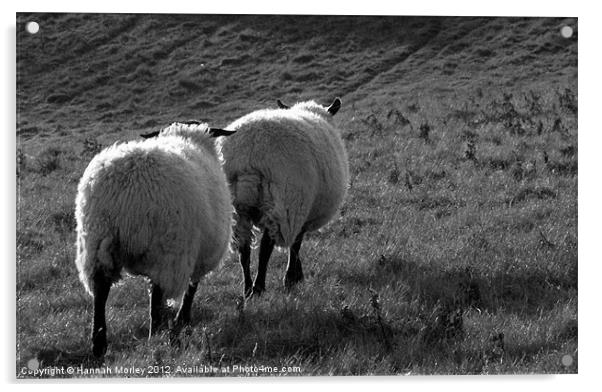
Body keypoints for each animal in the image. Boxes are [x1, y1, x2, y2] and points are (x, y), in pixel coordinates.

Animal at [74, 121, 236, 356]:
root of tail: (128, 187)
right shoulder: (198, 256)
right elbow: (191, 289)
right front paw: (183, 320)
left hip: (96, 244)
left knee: (100, 292)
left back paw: (99, 345)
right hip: (168, 252)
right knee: (157, 299)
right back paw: (158, 337)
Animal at [217, 97, 346, 298]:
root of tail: (248, 155)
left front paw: (295, 275)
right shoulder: (301, 211)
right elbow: (296, 244)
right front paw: (293, 277)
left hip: (237, 209)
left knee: (244, 250)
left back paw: (247, 289)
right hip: (283, 204)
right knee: (265, 248)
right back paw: (259, 287)